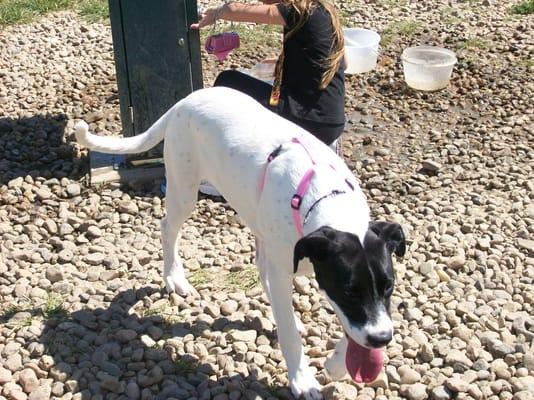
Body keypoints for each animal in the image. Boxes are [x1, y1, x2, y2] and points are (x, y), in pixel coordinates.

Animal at [76, 88, 406, 400]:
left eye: (389, 285)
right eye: (349, 290)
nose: (382, 339)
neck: (325, 199)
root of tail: (185, 101)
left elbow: (350, 328)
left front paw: (337, 364)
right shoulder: (295, 271)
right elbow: (292, 333)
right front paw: (303, 380)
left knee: (261, 267)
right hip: (184, 189)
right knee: (168, 228)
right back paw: (174, 277)